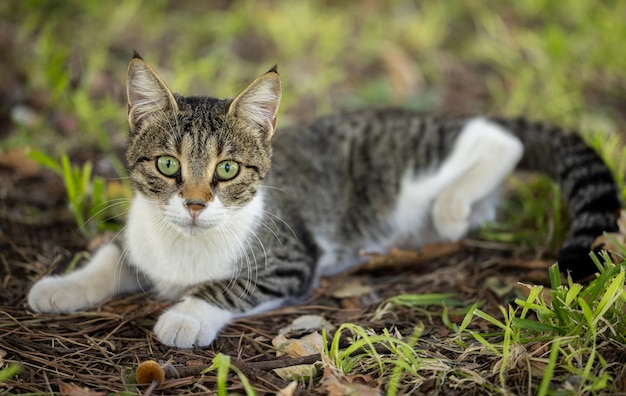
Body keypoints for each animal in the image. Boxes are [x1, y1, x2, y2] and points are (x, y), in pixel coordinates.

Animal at [25, 53, 620, 346]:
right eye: (168, 166)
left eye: (226, 170)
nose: (193, 204)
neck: (185, 246)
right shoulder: (140, 237)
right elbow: (110, 256)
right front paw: (62, 287)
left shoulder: (292, 260)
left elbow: (229, 285)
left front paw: (186, 315)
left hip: (406, 161)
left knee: (500, 139)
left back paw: (452, 207)